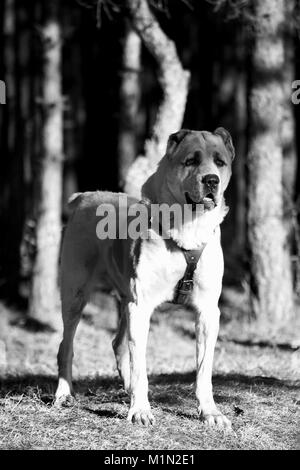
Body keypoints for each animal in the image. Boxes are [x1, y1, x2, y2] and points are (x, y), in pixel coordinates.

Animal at [55, 126, 236, 428]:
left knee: (118, 344)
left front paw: (210, 412)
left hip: (124, 299)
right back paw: (63, 394)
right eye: (191, 161)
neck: (189, 226)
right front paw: (140, 410)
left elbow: (204, 368)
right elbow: (140, 365)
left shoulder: (208, 312)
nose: (212, 180)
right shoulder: (141, 306)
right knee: (66, 345)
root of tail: (86, 196)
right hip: (75, 294)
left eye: (220, 162)